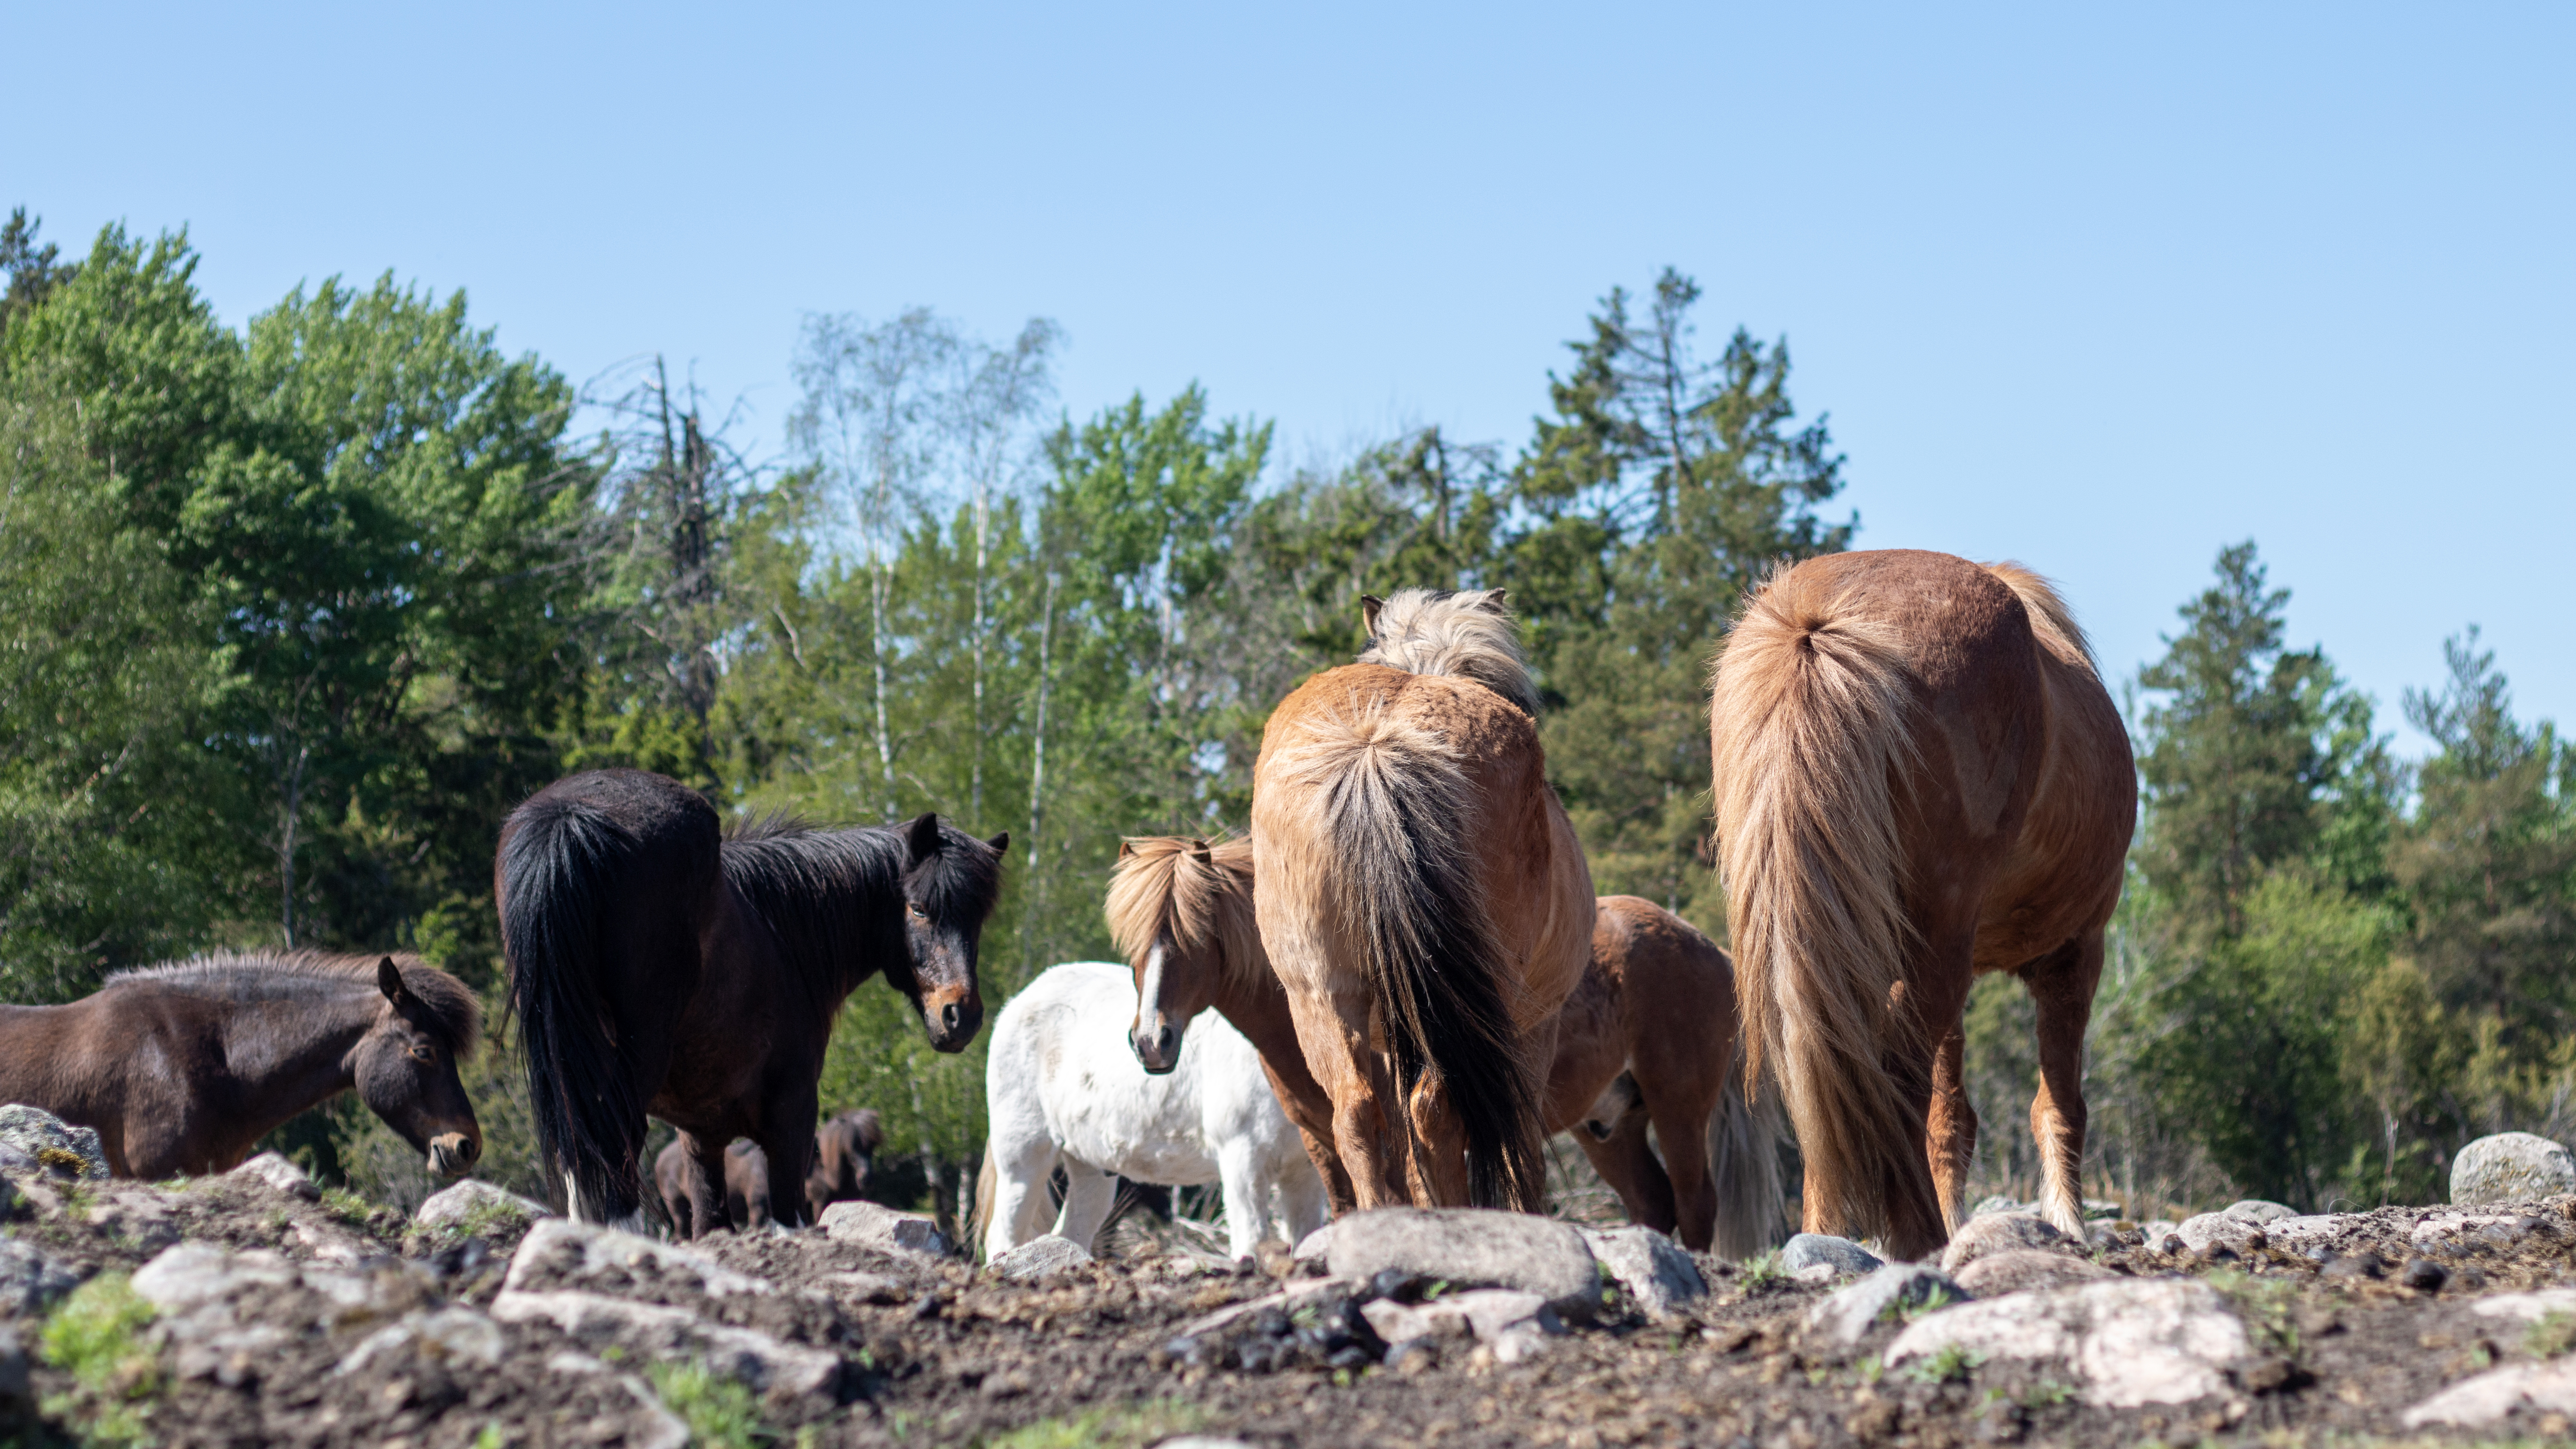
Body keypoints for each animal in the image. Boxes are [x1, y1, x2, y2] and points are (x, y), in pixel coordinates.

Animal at [976, 960, 1328, 1263]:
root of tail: (1018, 1001)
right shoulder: (1243, 1159)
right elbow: (1252, 1243)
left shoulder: (1305, 1173)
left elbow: (1306, 1239)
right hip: (1023, 1155)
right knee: (1004, 1235)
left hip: (1089, 1166)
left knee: (1070, 1234)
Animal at [1110, 835, 1785, 1254]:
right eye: (1132, 941)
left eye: (1193, 934)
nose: (1151, 1040)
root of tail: (1706, 944)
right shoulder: (1320, 1139)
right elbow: (1347, 1207)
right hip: (1609, 1126)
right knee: (1652, 1201)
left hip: (1679, 1108)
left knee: (1696, 1203)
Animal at [1249, 587, 1595, 1211]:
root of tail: (1373, 746)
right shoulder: (1533, 1028)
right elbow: (1523, 1150)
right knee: (1436, 1111)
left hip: (1320, 995)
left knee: (1358, 1115)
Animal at [1709, 551, 2134, 1259]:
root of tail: (1819, 619)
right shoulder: (2076, 953)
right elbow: (2059, 1104)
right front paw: (2069, 1223)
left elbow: (1951, 1116)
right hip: (1947, 943)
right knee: (1897, 1082)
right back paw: (1918, 1239)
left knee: (1826, 1070)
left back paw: (1830, 1235)